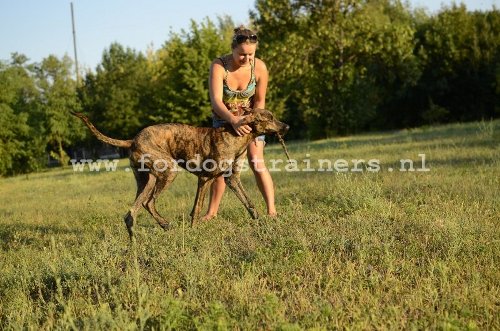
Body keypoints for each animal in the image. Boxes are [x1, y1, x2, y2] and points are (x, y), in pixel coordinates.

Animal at [71, 109, 290, 239]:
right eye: (269, 118)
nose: (287, 126)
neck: (237, 135)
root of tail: (132, 140)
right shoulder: (205, 179)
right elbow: (197, 208)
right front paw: (194, 231)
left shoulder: (232, 179)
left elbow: (249, 202)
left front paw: (260, 221)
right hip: (168, 172)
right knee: (147, 203)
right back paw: (162, 226)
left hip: (146, 181)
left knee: (132, 211)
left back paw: (140, 236)